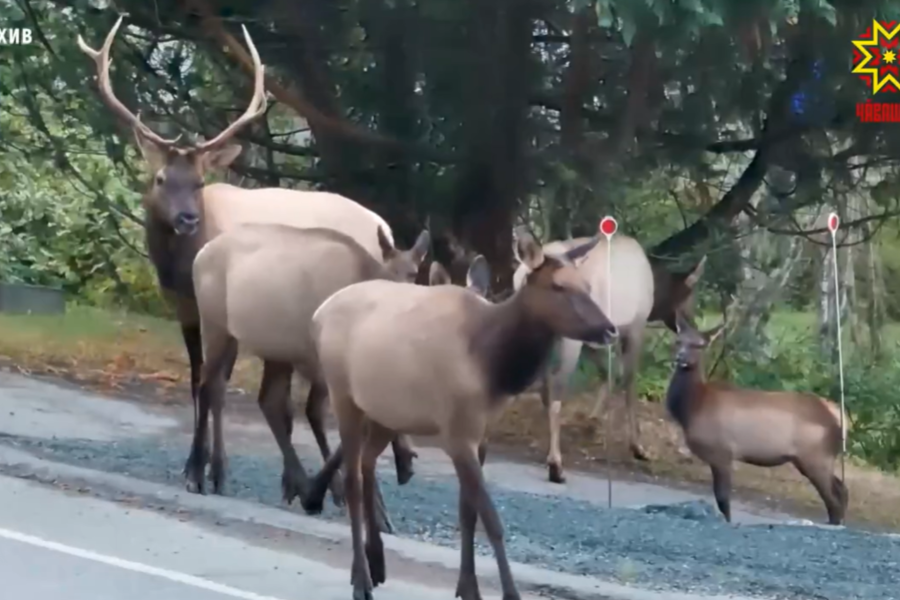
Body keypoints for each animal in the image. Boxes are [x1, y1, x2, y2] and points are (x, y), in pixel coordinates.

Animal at [302, 229, 620, 600]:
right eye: (558, 286)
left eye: (587, 285)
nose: (609, 329)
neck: (493, 365)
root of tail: (317, 315)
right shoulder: (457, 433)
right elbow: (491, 518)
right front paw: (509, 593)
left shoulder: (481, 435)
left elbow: (468, 513)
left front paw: (468, 587)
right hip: (343, 395)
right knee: (353, 479)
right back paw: (361, 579)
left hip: (386, 410)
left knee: (367, 464)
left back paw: (377, 561)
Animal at [510, 230, 708, 482]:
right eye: (690, 298)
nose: (698, 333)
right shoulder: (634, 327)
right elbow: (629, 382)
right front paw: (638, 447)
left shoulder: (597, 337)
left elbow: (608, 373)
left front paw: (592, 420)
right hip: (568, 336)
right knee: (554, 389)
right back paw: (555, 463)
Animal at [668, 312, 852, 528]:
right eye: (678, 341)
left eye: (699, 345)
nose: (680, 358)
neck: (691, 408)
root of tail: (840, 418)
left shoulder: (722, 452)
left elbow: (723, 499)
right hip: (815, 459)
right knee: (842, 489)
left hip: (816, 457)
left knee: (834, 498)